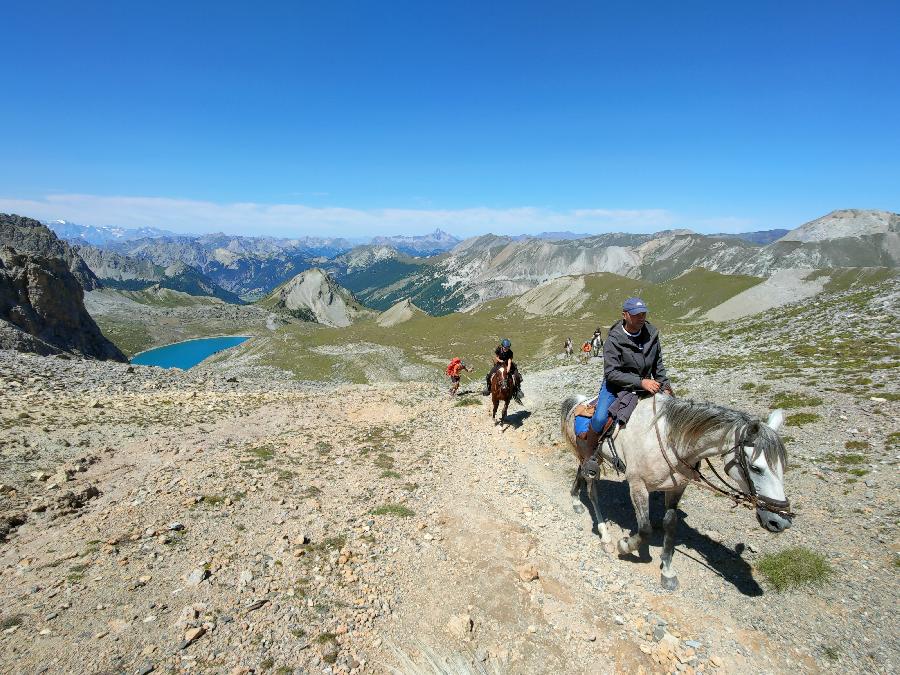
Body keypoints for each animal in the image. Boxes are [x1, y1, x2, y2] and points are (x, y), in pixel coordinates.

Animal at [560, 394, 792, 588]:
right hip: (592, 460)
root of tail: (580, 401)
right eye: (756, 468)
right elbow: (645, 530)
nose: (780, 522)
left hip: (588, 460)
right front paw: (625, 545)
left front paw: (668, 572)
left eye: (784, 467)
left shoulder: (677, 488)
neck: (669, 441)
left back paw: (575, 501)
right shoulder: (637, 485)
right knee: (593, 493)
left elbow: (670, 525)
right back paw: (605, 537)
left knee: (580, 473)